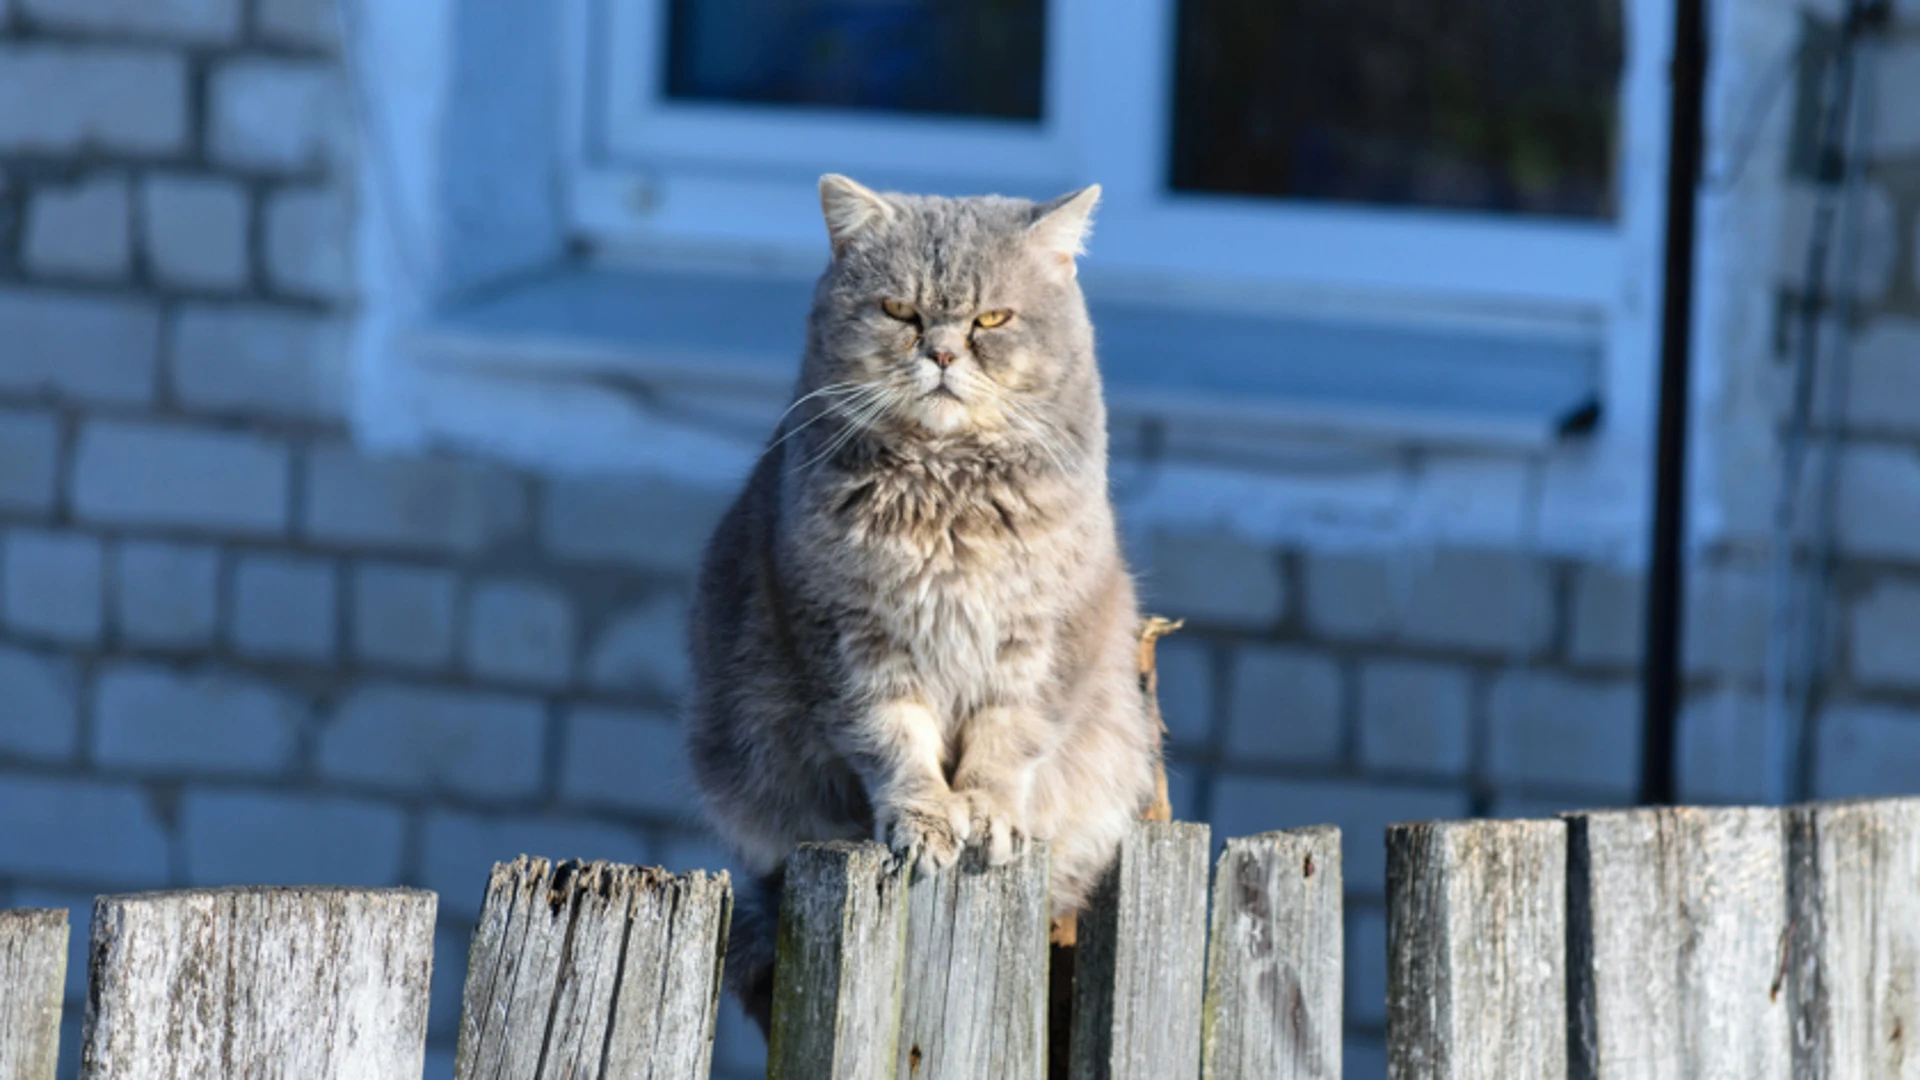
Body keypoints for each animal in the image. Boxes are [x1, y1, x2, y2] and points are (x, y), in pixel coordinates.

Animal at [687, 171, 1152, 1022]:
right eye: (899, 310)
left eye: (991, 318)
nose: (939, 351)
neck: (946, 486)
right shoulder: (852, 644)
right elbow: (894, 743)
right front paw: (925, 818)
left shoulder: (1039, 646)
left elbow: (1006, 743)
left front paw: (987, 814)